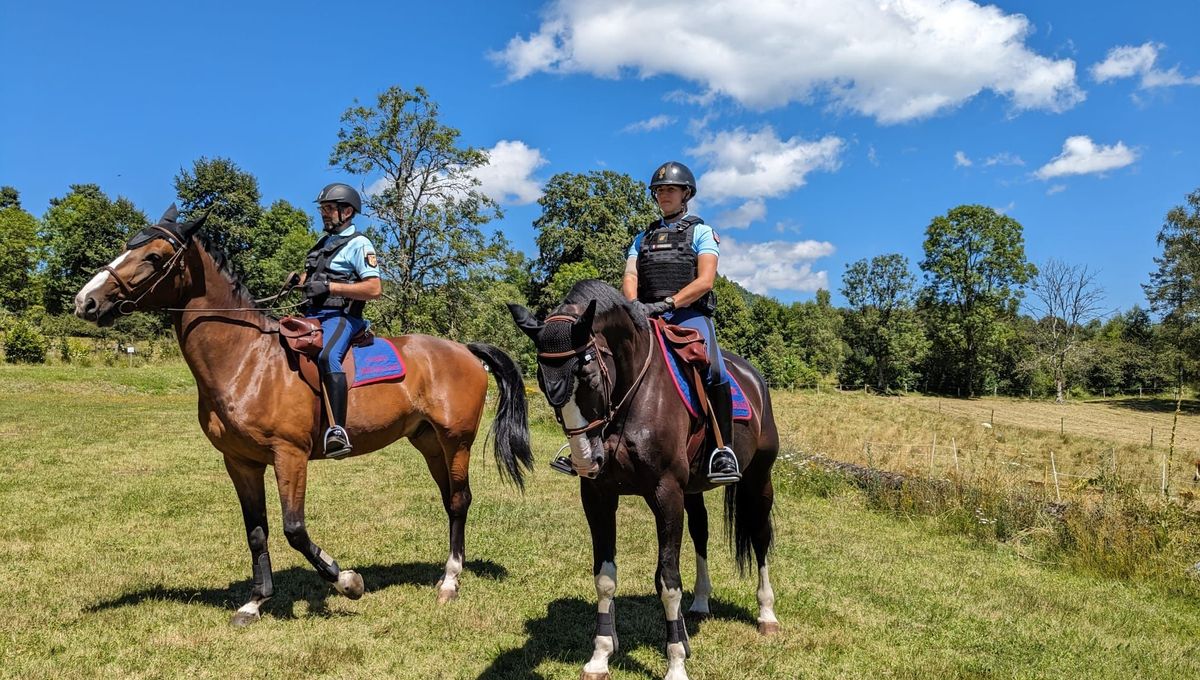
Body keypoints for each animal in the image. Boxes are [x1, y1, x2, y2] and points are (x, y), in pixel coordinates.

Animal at [70, 207, 530, 628]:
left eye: (153, 256)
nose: (84, 302)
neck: (247, 359)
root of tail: (465, 350)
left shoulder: (289, 456)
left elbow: (294, 528)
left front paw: (347, 581)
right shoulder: (241, 462)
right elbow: (257, 531)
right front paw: (255, 602)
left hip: (456, 441)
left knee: (459, 500)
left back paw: (450, 581)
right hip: (429, 442)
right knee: (449, 499)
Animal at [511, 280, 782, 680]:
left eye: (589, 375)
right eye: (545, 383)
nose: (585, 459)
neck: (632, 396)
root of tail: (753, 378)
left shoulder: (666, 493)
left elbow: (667, 581)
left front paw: (676, 663)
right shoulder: (598, 494)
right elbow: (604, 576)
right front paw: (601, 654)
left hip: (757, 479)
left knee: (760, 537)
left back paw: (766, 614)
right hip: (693, 490)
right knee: (700, 533)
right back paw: (700, 602)